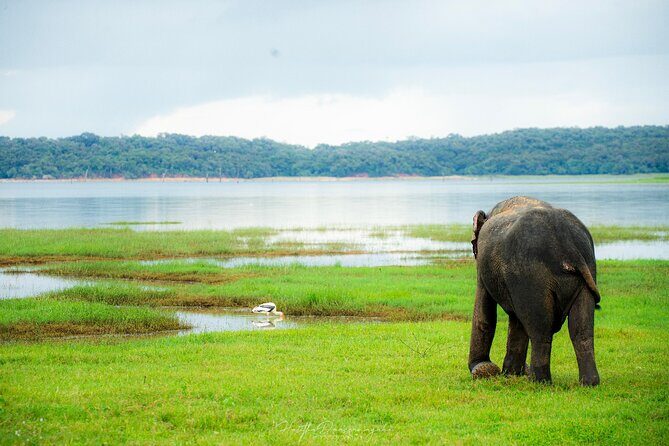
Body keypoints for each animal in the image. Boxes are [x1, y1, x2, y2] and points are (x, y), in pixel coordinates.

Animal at [468, 196, 601, 386]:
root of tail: (567, 241)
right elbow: (516, 320)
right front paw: (510, 374)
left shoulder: (483, 265)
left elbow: (485, 310)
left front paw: (484, 369)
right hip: (587, 269)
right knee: (581, 329)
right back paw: (589, 383)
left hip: (530, 276)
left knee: (539, 328)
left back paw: (539, 381)